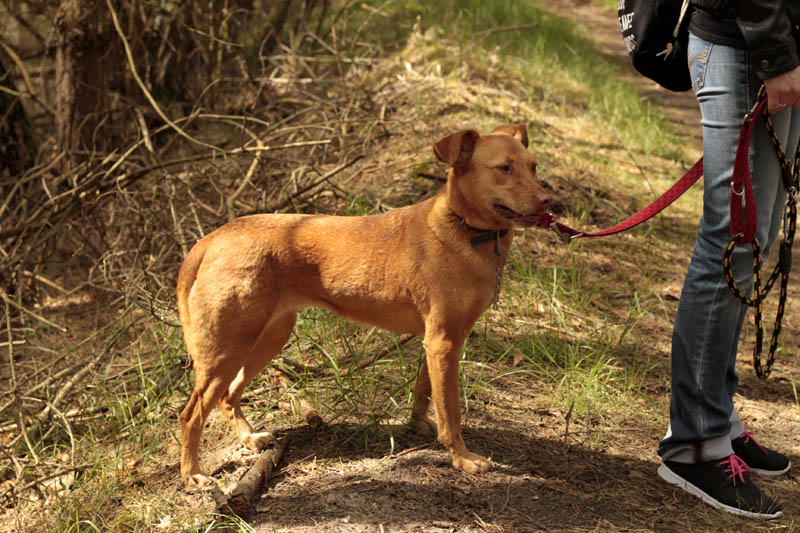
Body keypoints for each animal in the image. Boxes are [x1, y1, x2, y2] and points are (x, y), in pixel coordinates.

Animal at [177, 124, 553, 487]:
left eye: (534, 167)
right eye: (504, 168)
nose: (550, 202)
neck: (462, 227)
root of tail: (214, 238)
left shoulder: (435, 343)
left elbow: (424, 394)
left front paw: (417, 427)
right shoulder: (444, 342)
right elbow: (451, 413)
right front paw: (462, 459)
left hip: (267, 338)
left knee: (228, 395)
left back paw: (249, 438)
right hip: (228, 349)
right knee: (191, 413)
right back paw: (192, 474)